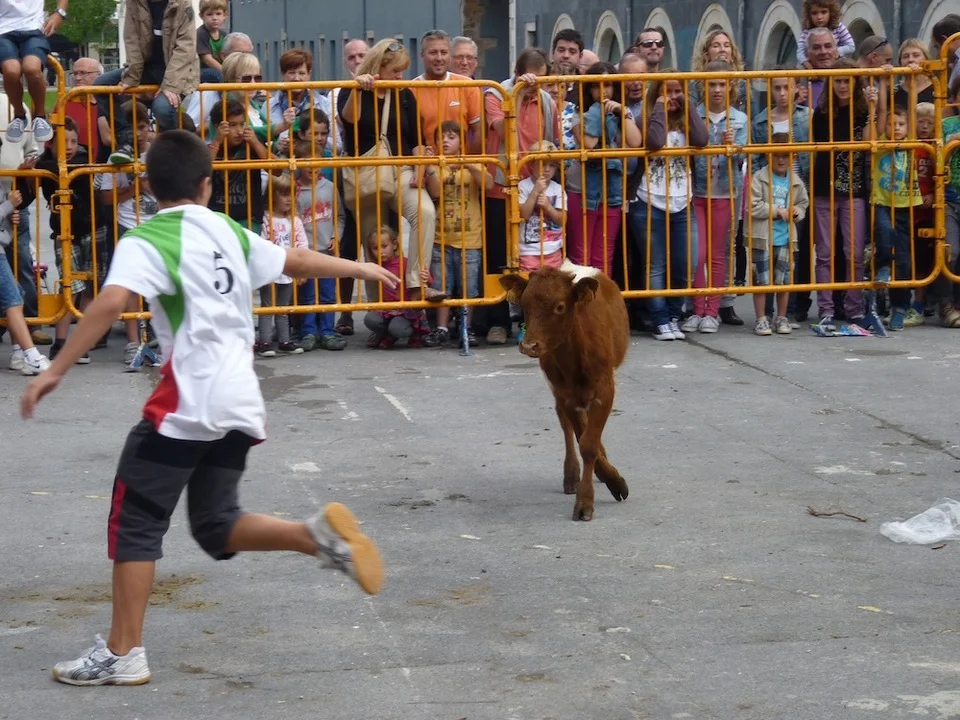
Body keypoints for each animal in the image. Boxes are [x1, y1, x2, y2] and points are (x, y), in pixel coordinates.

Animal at [500, 259, 630, 521]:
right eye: (525, 305)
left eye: (560, 307)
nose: (529, 346)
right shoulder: (566, 394)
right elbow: (582, 439)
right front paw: (605, 483)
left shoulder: (605, 391)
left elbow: (589, 444)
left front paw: (600, 491)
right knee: (567, 426)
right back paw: (572, 474)